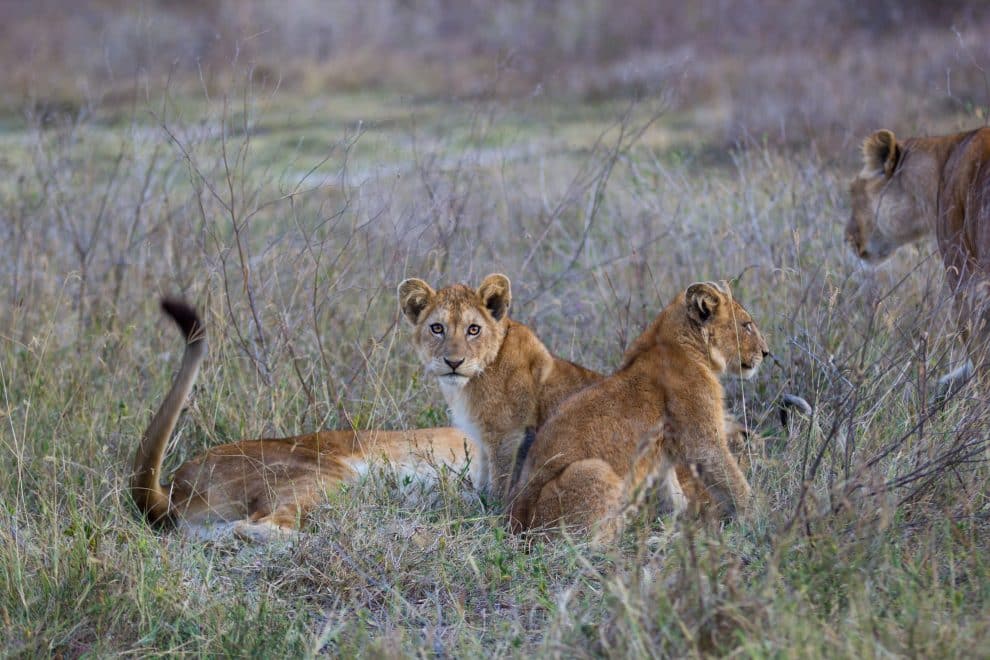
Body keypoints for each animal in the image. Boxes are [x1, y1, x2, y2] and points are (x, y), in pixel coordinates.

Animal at [507, 281, 769, 544]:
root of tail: (514, 522)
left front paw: (679, 526)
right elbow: (733, 479)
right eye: (746, 325)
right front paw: (757, 520)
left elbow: (674, 494)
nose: (766, 353)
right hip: (593, 470)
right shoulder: (702, 441)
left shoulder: (663, 454)